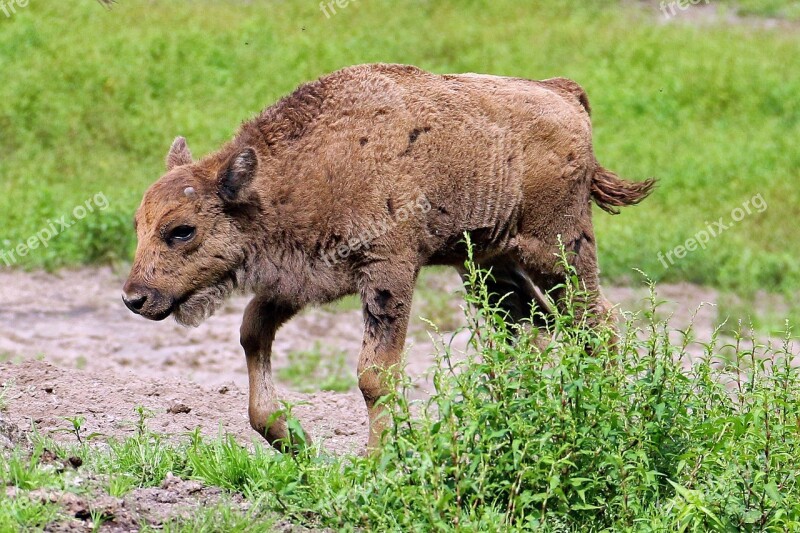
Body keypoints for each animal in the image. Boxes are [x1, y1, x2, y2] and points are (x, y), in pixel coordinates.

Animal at [122, 64, 652, 450]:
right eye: (138, 225)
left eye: (181, 230)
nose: (134, 298)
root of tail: (563, 93)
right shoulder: (297, 282)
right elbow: (253, 334)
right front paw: (292, 440)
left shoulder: (387, 274)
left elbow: (375, 375)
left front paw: (377, 460)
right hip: (491, 269)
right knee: (534, 333)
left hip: (560, 254)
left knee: (597, 324)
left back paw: (608, 413)